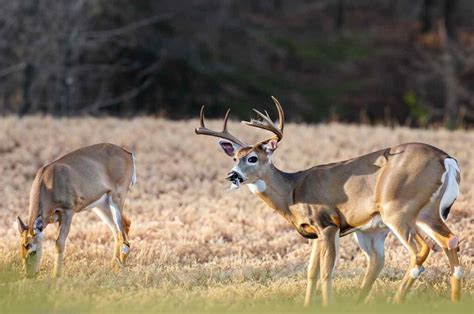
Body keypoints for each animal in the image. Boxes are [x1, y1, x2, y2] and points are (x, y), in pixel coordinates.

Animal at [14, 142, 136, 278]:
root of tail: (127, 153)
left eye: (33, 251)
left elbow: (59, 243)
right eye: (22, 249)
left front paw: (56, 276)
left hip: (116, 199)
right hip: (101, 205)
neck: (48, 180)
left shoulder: (67, 212)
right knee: (120, 229)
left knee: (124, 238)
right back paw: (113, 266)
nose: (29, 275)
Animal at [195, 97, 462, 306]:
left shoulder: (328, 224)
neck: (292, 193)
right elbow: (311, 272)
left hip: (397, 209)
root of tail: (446, 159)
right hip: (423, 213)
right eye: (235, 158)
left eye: (252, 158)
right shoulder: (313, 232)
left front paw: (327, 304)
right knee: (449, 241)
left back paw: (395, 301)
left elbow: (326, 272)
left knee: (421, 249)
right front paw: (307, 306)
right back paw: (453, 301)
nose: (232, 175)